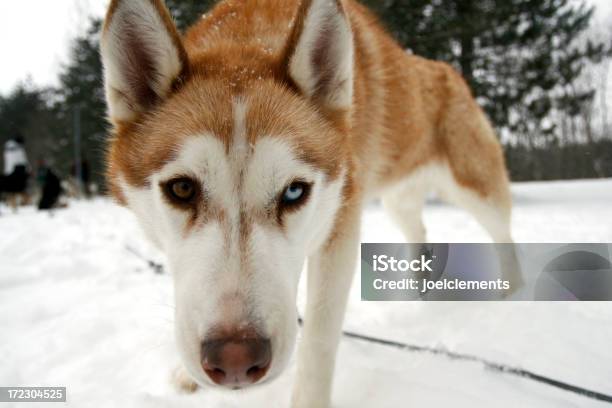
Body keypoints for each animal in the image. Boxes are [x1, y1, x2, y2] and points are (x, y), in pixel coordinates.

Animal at [99, 0, 516, 404]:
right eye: (182, 189)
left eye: (294, 192)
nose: (235, 361)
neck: (250, 35)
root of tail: (448, 71)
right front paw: (188, 375)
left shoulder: (339, 229)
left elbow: (317, 341)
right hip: (400, 200)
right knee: (420, 231)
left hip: (476, 189)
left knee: (504, 236)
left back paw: (513, 294)